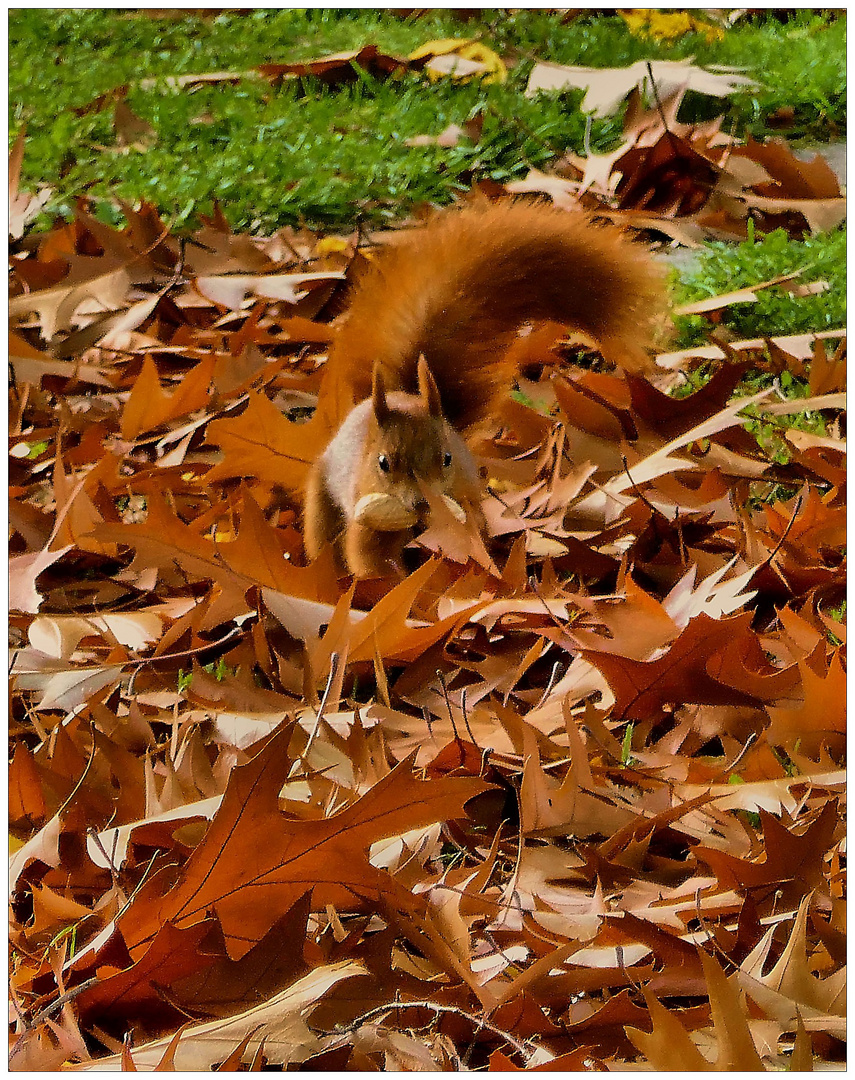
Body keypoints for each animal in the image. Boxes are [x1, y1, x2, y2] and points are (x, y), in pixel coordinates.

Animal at [300, 198, 669, 578]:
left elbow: (469, 540)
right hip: (322, 496)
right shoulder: (369, 513)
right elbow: (371, 559)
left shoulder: (464, 505)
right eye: (383, 463)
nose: (423, 504)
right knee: (323, 532)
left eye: (447, 458)